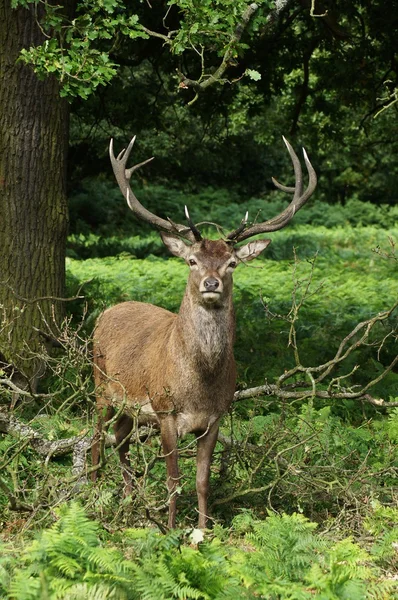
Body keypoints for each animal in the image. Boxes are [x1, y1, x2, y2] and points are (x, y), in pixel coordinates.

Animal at [91, 135, 318, 524]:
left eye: (232, 263)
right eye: (192, 260)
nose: (211, 283)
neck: (200, 384)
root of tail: (108, 311)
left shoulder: (216, 418)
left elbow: (201, 480)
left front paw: (204, 530)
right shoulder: (165, 410)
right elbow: (173, 480)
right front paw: (169, 530)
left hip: (130, 407)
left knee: (119, 438)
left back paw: (130, 498)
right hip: (100, 385)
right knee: (94, 440)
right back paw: (88, 496)